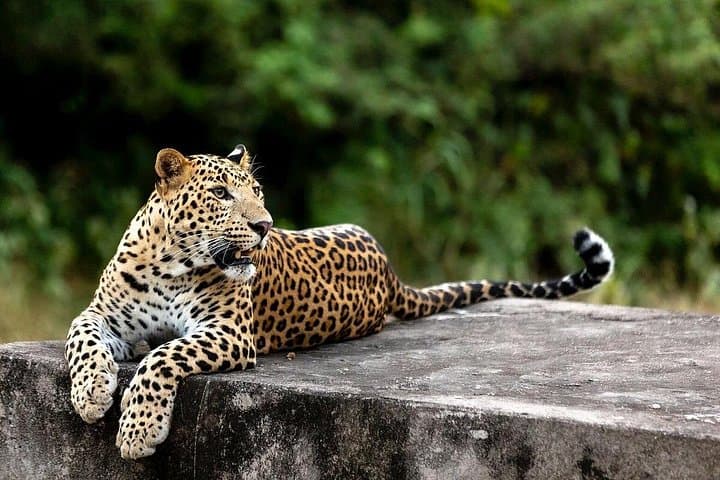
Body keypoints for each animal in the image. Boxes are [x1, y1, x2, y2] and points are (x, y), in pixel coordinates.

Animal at [65, 145, 614, 459]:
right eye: (220, 193)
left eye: (257, 190)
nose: (264, 225)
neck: (169, 261)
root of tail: (390, 269)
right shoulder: (104, 315)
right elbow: (82, 338)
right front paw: (91, 393)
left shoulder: (229, 332)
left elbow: (163, 356)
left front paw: (138, 431)